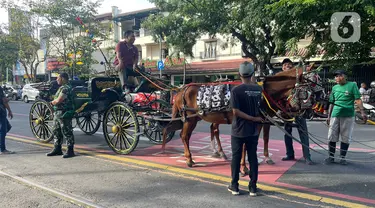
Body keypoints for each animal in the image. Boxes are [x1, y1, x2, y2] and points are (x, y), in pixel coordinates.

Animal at [163, 66, 312, 167]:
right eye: (306, 91)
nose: (309, 113)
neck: (263, 92)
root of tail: (182, 89)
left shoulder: (264, 119)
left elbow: (265, 138)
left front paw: (265, 157)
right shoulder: (258, 120)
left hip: (203, 116)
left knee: (208, 130)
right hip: (190, 119)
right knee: (184, 136)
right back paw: (189, 158)